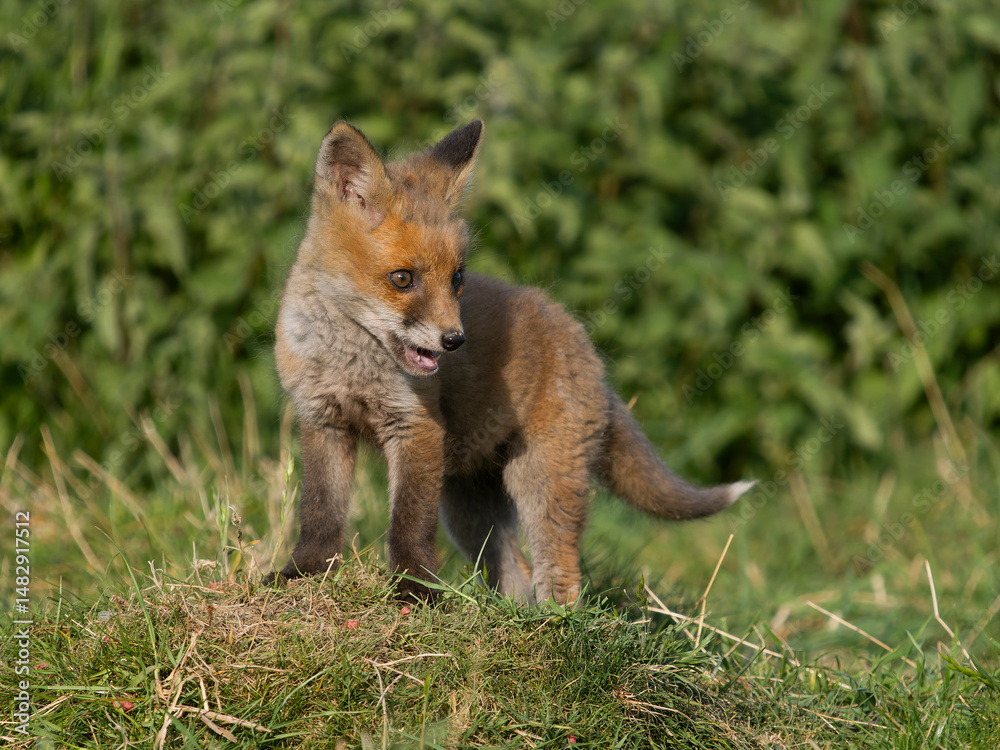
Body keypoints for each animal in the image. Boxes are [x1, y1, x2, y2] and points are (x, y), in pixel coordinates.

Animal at [268, 118, 754, 603]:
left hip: (541, 481)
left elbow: (409, 523)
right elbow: (320, 514)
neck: (350, 361)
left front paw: (414, 591)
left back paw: (553, 618)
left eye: (457, 278)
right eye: (402, 278)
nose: (454, 341)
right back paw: (519, 613)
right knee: (515, 572)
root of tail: (586, 344)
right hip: (469, 507)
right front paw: (303, 574)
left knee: (561, 575)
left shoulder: (416, 427)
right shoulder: (322, 422)